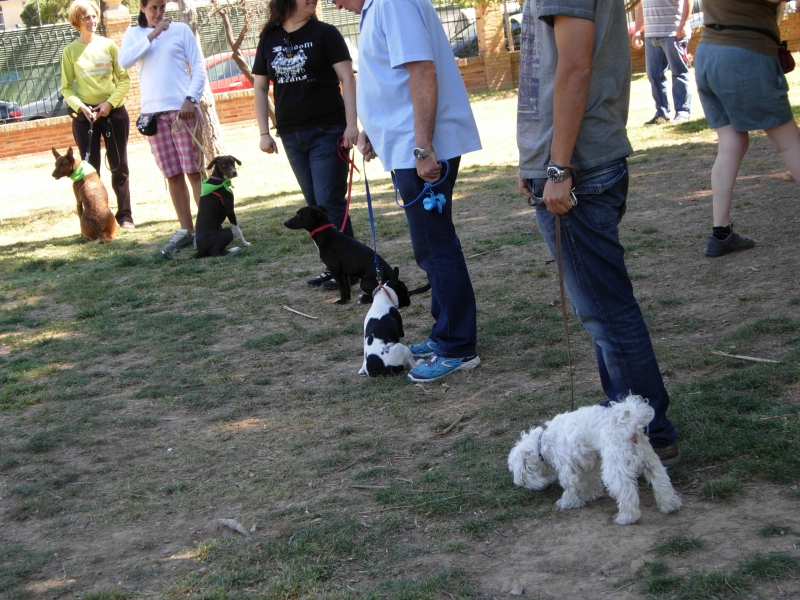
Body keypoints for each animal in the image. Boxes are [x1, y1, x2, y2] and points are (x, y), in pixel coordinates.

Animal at [282, 205, 412, 304]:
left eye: (299, 215)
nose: (284, 222)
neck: (327, 235)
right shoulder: (343, 272)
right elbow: (347, 287)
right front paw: (348, 299)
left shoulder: (335, 270)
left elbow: (341, 288)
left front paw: (342, 301)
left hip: (364, 283)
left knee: (378, 292)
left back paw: (364, 298)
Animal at [506, 396, 680, 524]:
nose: (519, 485)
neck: (543, 442)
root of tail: (630, 426)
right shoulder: (590, 463)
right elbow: (592, 480)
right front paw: (593, 495)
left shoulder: (567, 467)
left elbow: (570, 486)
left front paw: (567, 503)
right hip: (652, 462)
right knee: (662, 483)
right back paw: (670, 505)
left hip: (616, 469)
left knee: (627, 492)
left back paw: (627, 517)